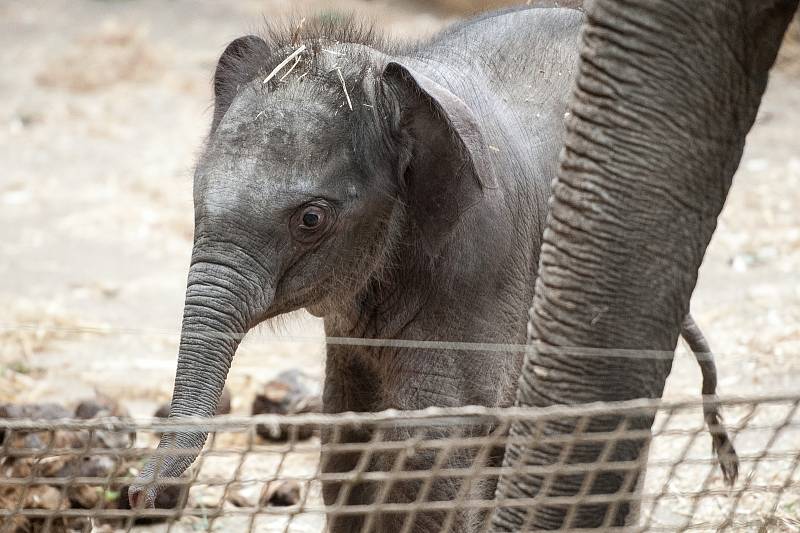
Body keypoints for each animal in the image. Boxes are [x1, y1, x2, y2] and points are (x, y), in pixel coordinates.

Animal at [131, 5, 736, 532]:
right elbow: (347, 435)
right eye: (196, 195)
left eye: (310, 218)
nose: (141, 493)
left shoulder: (480, 267)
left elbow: (431, 446)